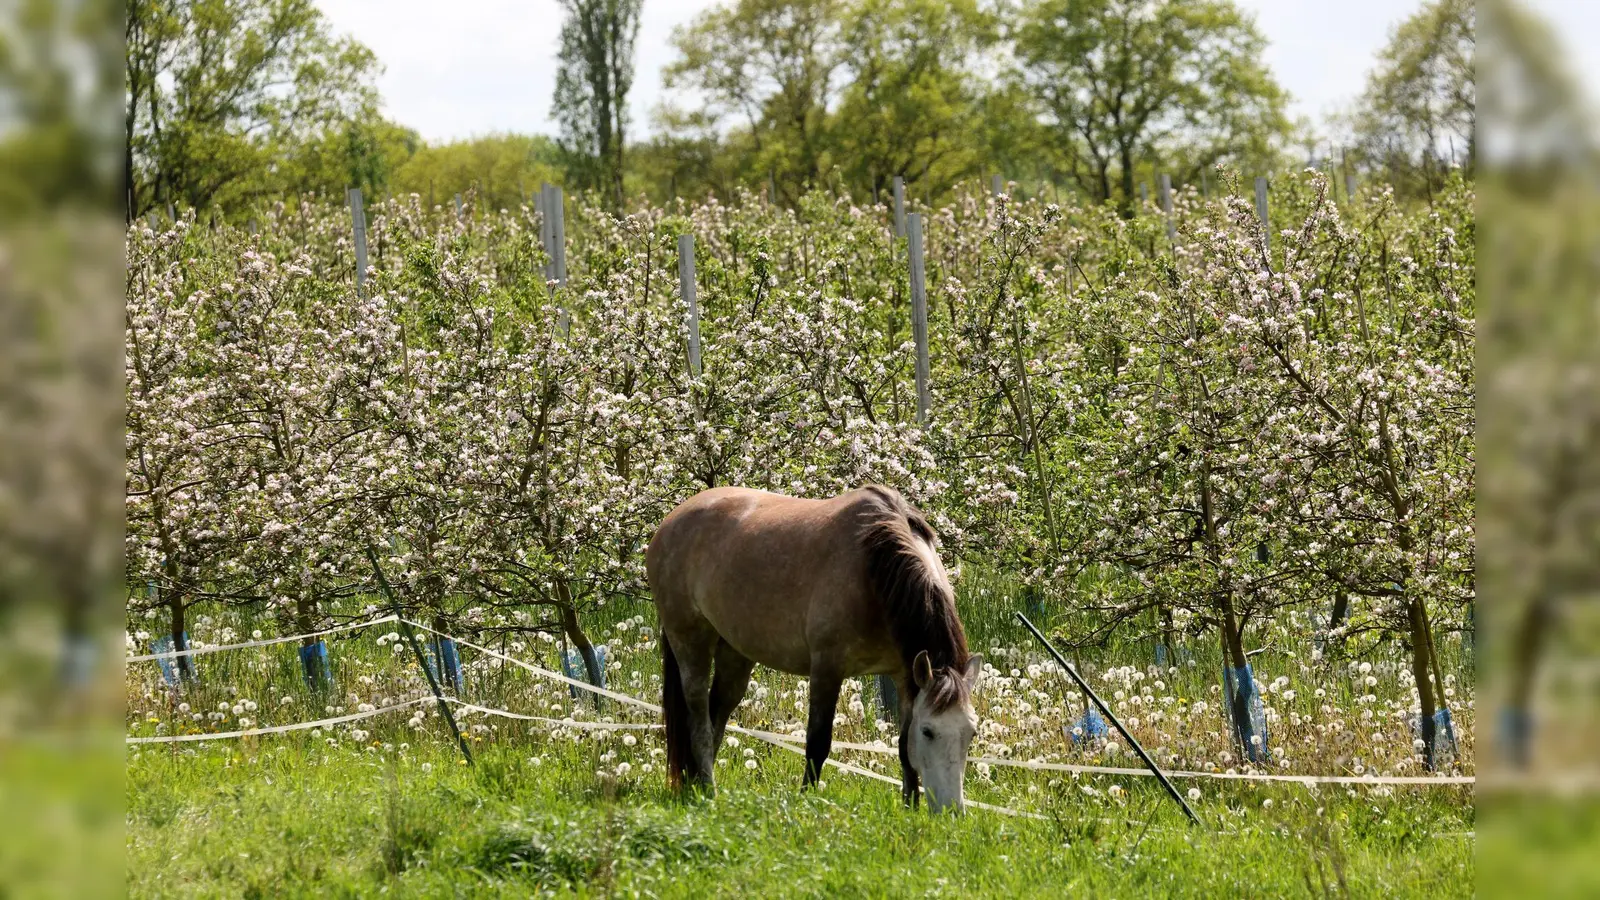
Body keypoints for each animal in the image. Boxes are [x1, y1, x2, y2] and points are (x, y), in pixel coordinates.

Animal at [643, 486, 979, 810]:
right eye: (928, 732)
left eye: (971, 733)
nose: (952, 810)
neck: (874, 567)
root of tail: (671, 522)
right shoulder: (827, 669)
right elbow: (818, 743)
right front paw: (806, 801)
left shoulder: (904, 674)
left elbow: (902, 747)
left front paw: (910, 811)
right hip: (689, 639)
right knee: (698, 718)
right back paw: (708, 791)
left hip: (734, 652)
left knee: (718, 712)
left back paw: (698, 784)